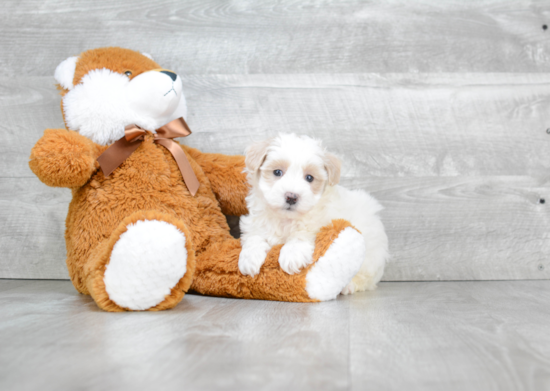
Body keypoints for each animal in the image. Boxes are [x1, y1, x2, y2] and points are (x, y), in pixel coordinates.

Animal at [239, 134, 390, 294]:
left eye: (309, 178)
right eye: (277, 172)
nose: (291, 197)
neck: (285, 219)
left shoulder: (320, 221)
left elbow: (302, 233)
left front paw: (292, 255)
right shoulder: (256, 222)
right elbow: (254, 237)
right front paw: (249, 258)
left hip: (370, 255)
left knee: (366, 278)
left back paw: (348, 285)